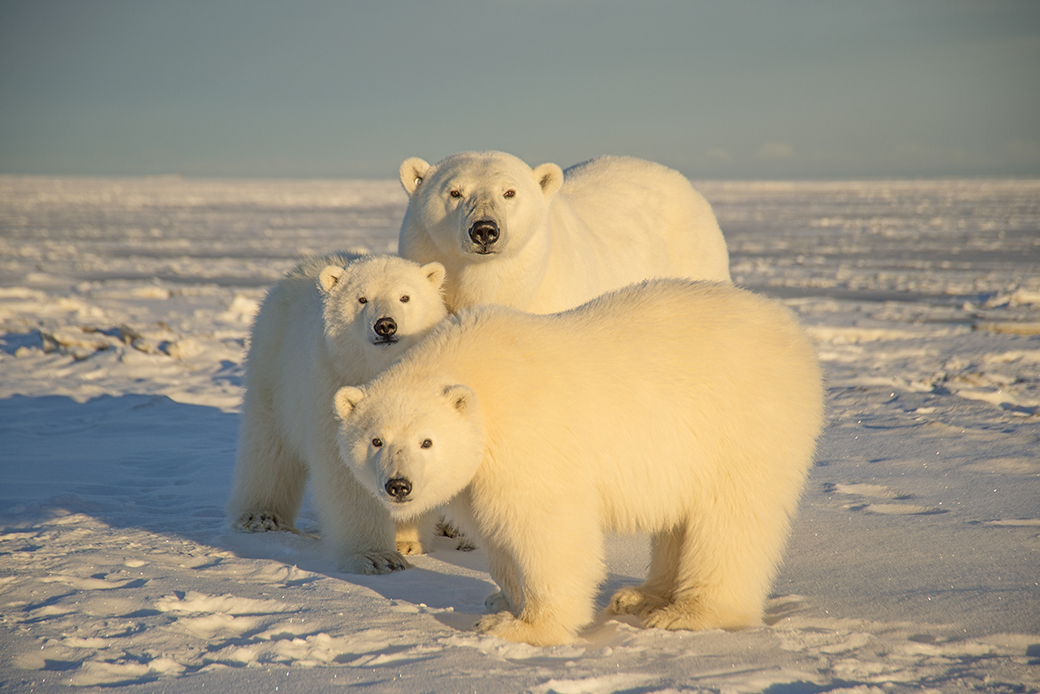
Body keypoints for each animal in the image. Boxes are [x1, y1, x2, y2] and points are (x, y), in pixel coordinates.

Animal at [227, 252, 447, 574]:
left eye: (405, 297)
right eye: (362, 298)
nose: (385, 325)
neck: (378, 369)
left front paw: (406, 540)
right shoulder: (335, 383)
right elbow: (347, 470)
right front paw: (375, 556)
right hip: (274, 367)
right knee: (268, 445)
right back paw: (261, 516)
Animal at [332, 278, 819, 649]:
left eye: (427, 441)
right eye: (376, 440)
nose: (399, 485)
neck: (479, 377)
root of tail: (793, 332)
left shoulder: (527, 438)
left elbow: (546, 529)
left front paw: (523, 626)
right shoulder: (479, 471)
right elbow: (496, 534)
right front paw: (501, 601)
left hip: (742, 423)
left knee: (730, 518)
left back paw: (689, 613)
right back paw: (642, 597)